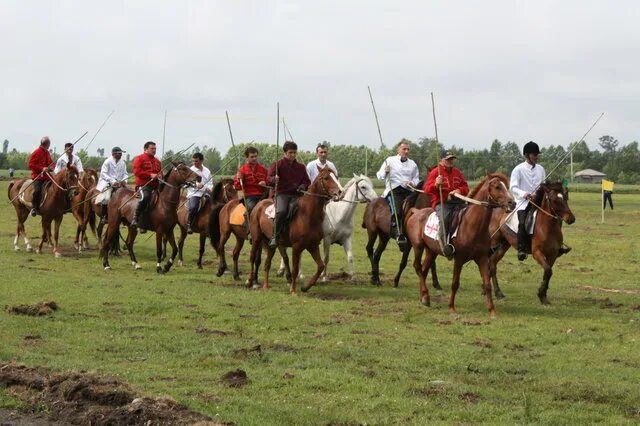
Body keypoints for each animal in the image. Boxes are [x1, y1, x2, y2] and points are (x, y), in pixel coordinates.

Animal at [408, 172, 516, 316]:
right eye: (497, 187)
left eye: (507, 187)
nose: (512, 203)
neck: (472, 225)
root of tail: (416, 212)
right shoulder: (458, 259)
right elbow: (455, 283)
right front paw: (451, 308)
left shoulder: (482, 258)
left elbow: (487, 284)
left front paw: (492, 310)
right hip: (418, 247)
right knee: (418, 267)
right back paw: (425, 295)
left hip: (431, 251)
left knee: (424, 270)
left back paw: (424, 298)